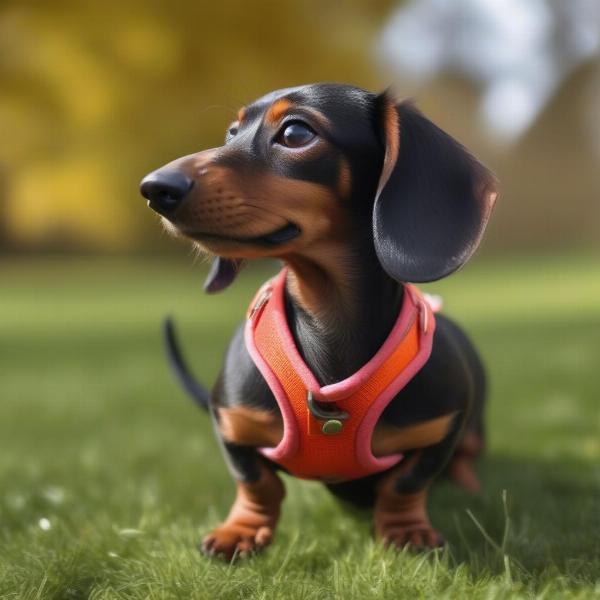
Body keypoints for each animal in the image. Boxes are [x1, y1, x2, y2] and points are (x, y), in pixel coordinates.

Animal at [139, 82, 496, 560]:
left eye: (295, 134)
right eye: (232, 133)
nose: (154, 188)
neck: (328, 320)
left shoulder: (442, 430)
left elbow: (405, 484)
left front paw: (407, 531)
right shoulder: (230, 422)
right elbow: (257, 483)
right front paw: (241, 530)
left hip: (474, 429)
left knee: (468, 456)